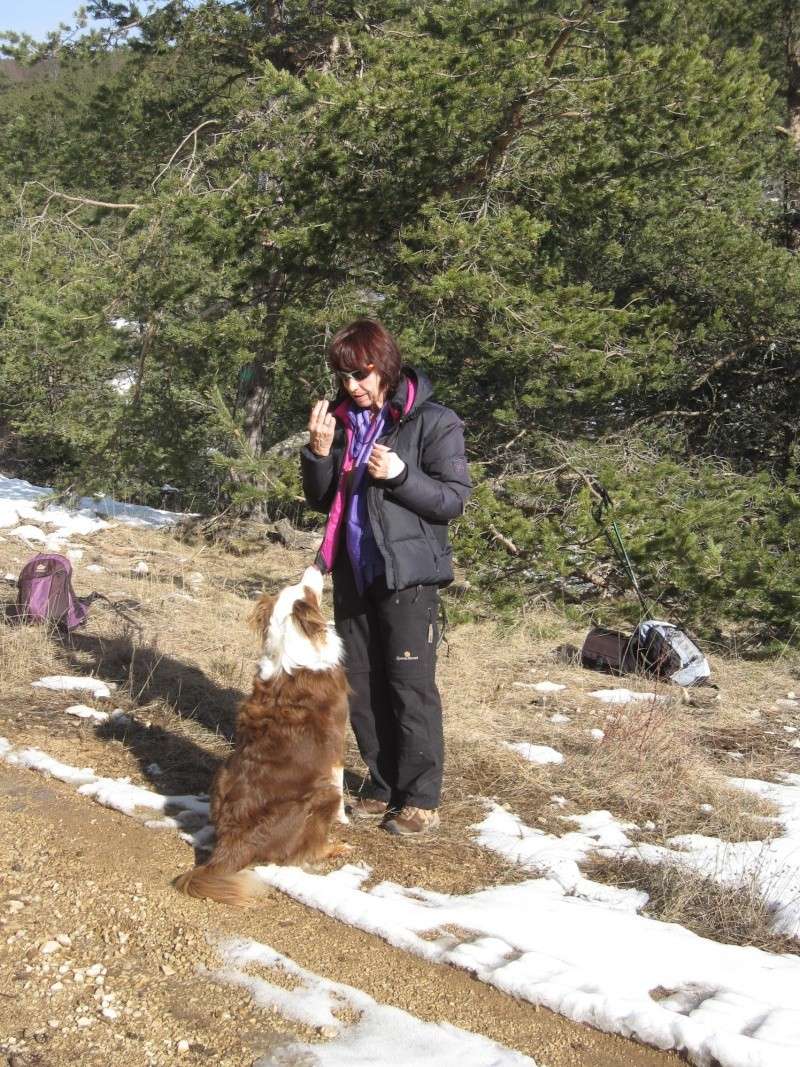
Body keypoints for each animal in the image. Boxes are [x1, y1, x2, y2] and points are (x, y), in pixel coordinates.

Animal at [173, 567, 349, 909]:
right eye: (308, 590)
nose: (315, 568)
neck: (290, 642)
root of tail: (233, 841)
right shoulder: (337, 748)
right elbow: (342, 778)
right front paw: (347, 819)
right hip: (324, 795)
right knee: (302, 852)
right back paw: (334, 847)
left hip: (221, 776)